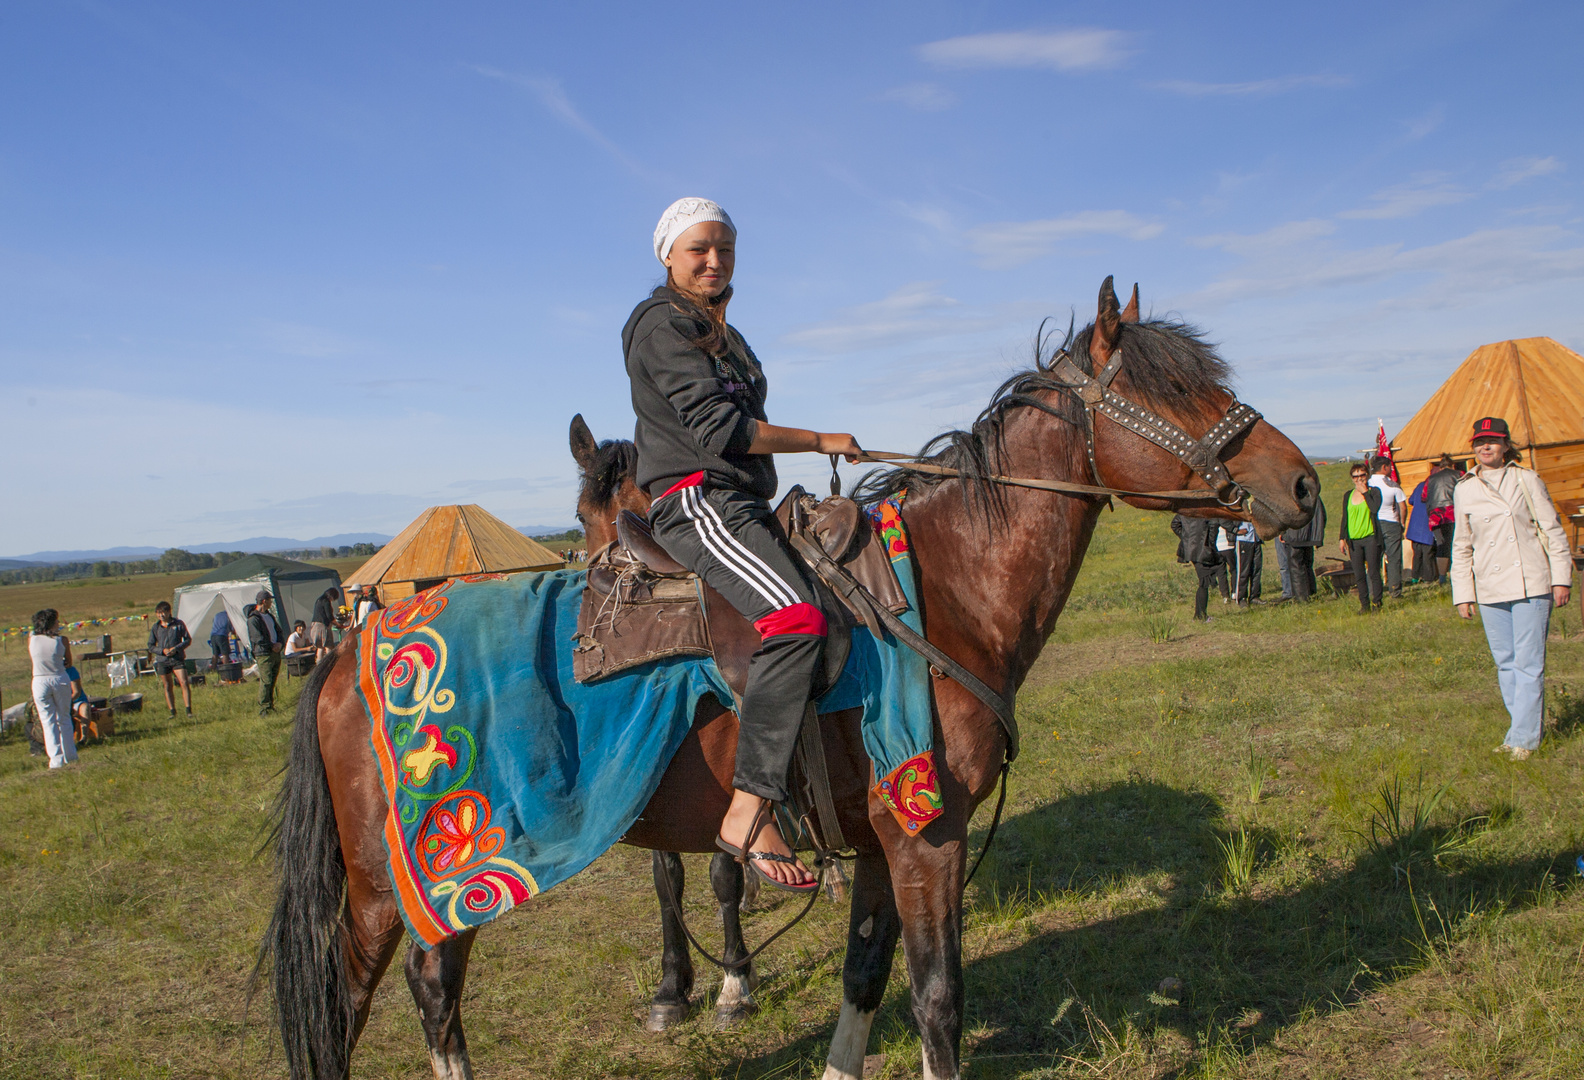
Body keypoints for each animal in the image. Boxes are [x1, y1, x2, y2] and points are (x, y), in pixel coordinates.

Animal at [266, 277, 1317, 1076]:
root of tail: (349, 651)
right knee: (383, 992)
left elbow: (865, 974)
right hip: (399, 881)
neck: (944, 590)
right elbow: (938, 997)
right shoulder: (928, 836)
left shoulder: (882, 843)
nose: (1304, 484)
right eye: (1174, 390)